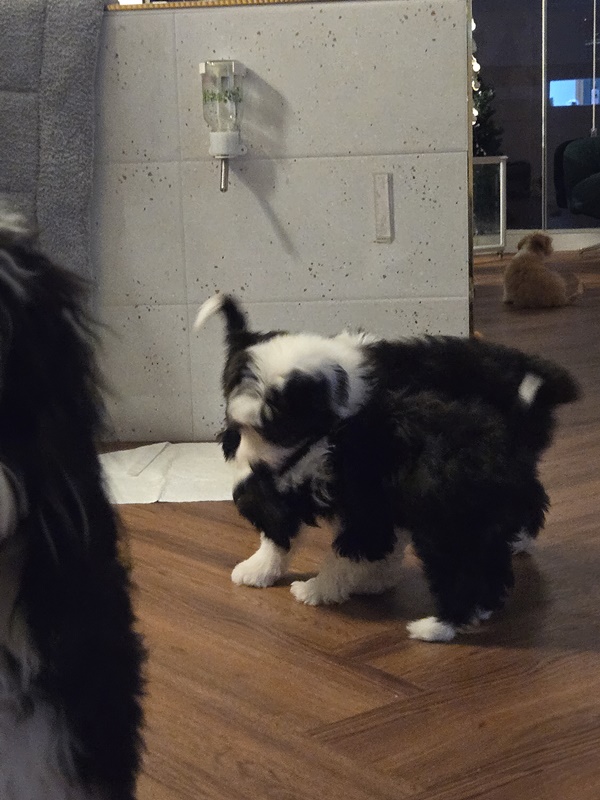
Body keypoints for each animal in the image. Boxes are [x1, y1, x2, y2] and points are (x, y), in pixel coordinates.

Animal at [195, 293, 579, 642]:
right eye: (237, 428)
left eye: (275, 429)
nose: (250, 467)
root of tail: (530, 374)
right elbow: (284, 533)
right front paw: (260, 569)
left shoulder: (368, 493)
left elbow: (346, 545)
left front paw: (321, 587)